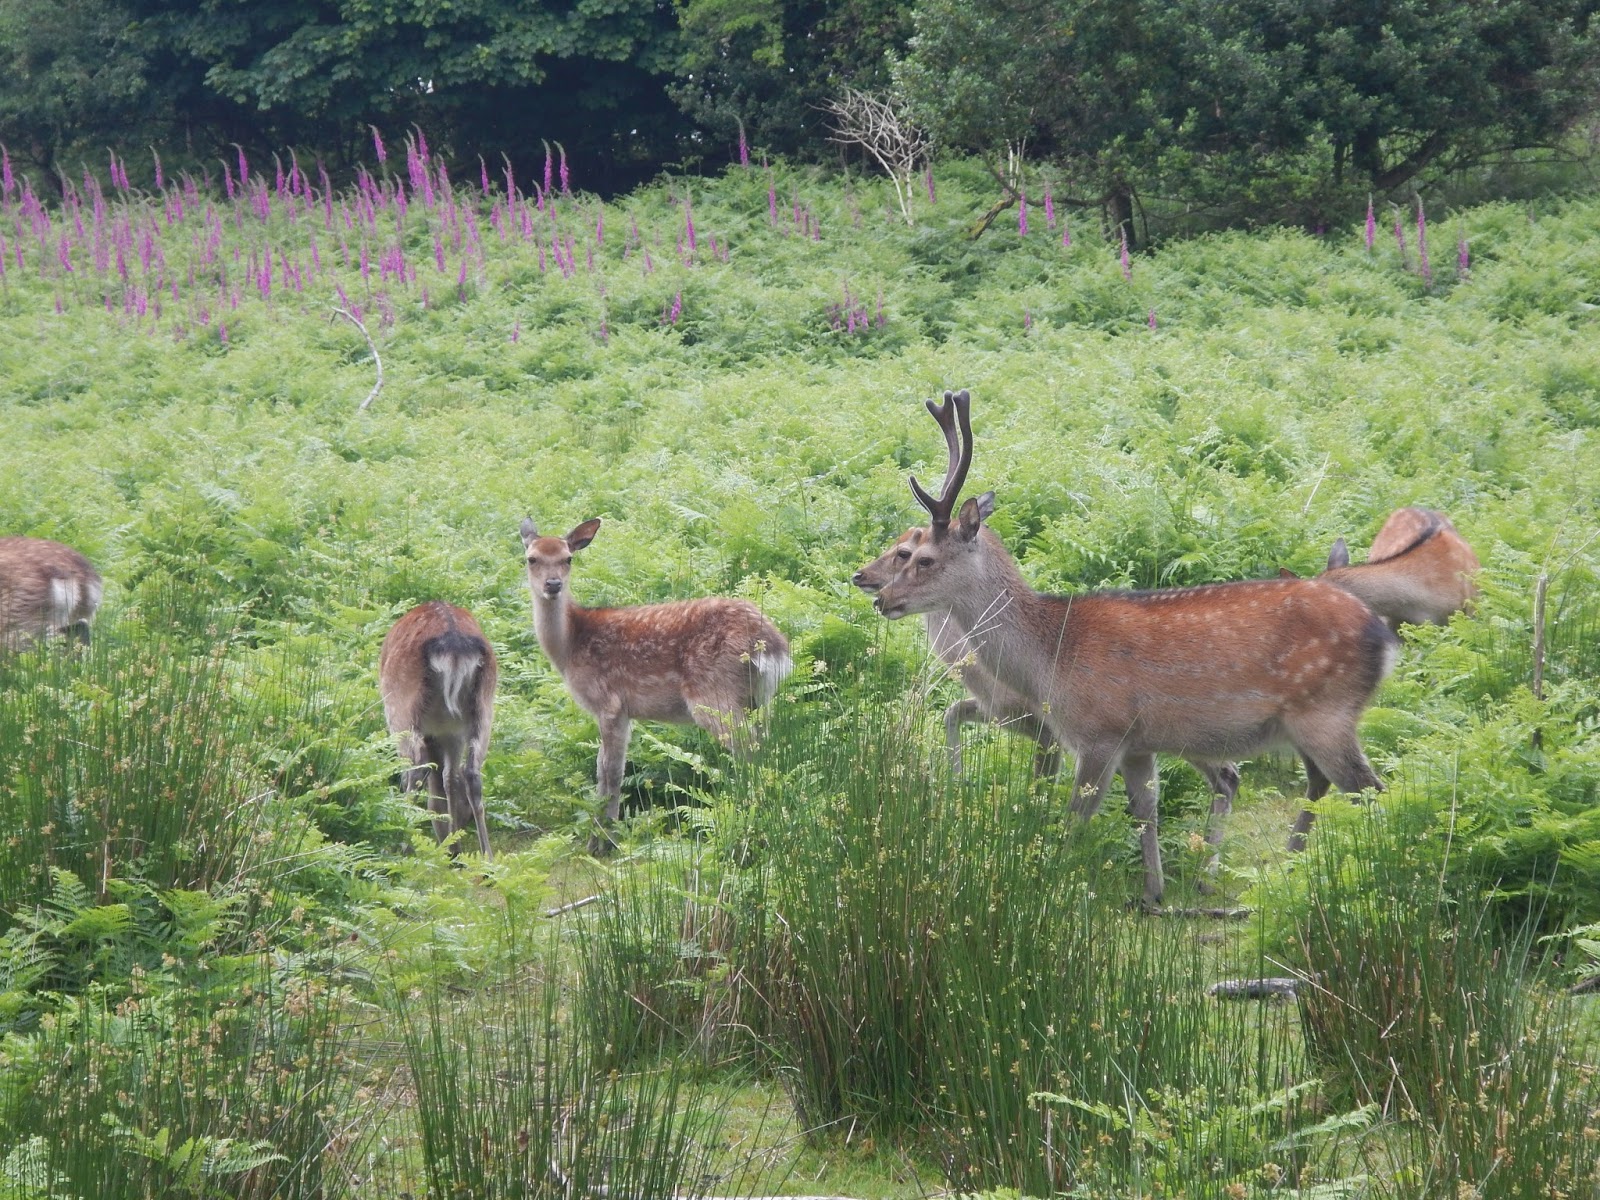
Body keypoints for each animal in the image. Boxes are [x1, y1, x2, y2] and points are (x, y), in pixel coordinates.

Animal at [379, 601, 498, 858]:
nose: (464, 824)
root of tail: (454, 649)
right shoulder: (451, 733)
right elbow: (449, 778)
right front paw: (453, 847)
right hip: (482, 711)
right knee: (470, 773)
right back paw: (487, 857)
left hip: (402, 712)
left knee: (416, 770)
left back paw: (401, 845)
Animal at [520, 517, 793, 855]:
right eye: (532, 558)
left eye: (567, 558)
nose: (553, 584)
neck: (570, 645)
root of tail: (772, 646)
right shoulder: (624, 713)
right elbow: (608, 768)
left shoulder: (608, 702)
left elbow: (609, 771)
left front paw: (602, 841)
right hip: (759, 698)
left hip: (714, 694)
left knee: (752, 748)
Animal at [870, 390, 1400, 906]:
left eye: (920, 557)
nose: (881, 598)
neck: (1049, 658)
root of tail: (1384, 637)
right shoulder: (1138, 743)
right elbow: (1145, 809)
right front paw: (1153, 893)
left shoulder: (1098, 730)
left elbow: (1075, 816)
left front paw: (1049, 886)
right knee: (1325, 784)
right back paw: (1286, 875)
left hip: (1325, 714)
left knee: (1372, 790)